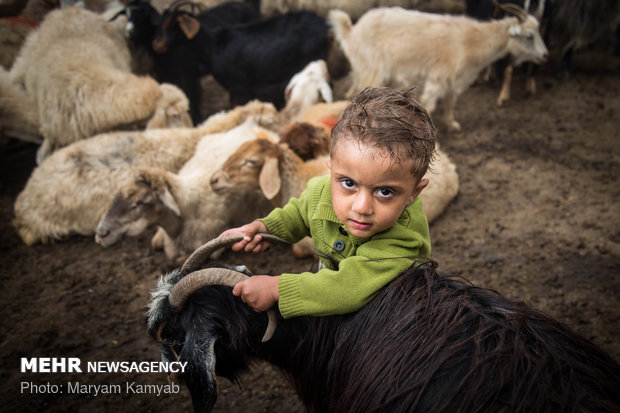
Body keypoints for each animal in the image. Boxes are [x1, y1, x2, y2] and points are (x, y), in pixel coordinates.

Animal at [330, 1, 548, 130]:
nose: (545, 56)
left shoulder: (454, 81)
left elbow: (450, 102)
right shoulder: (439, 77)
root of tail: (352, 30)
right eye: (529, 36)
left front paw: (453, 124)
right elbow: (430, 104)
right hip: (372, 69)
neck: (471, 42)